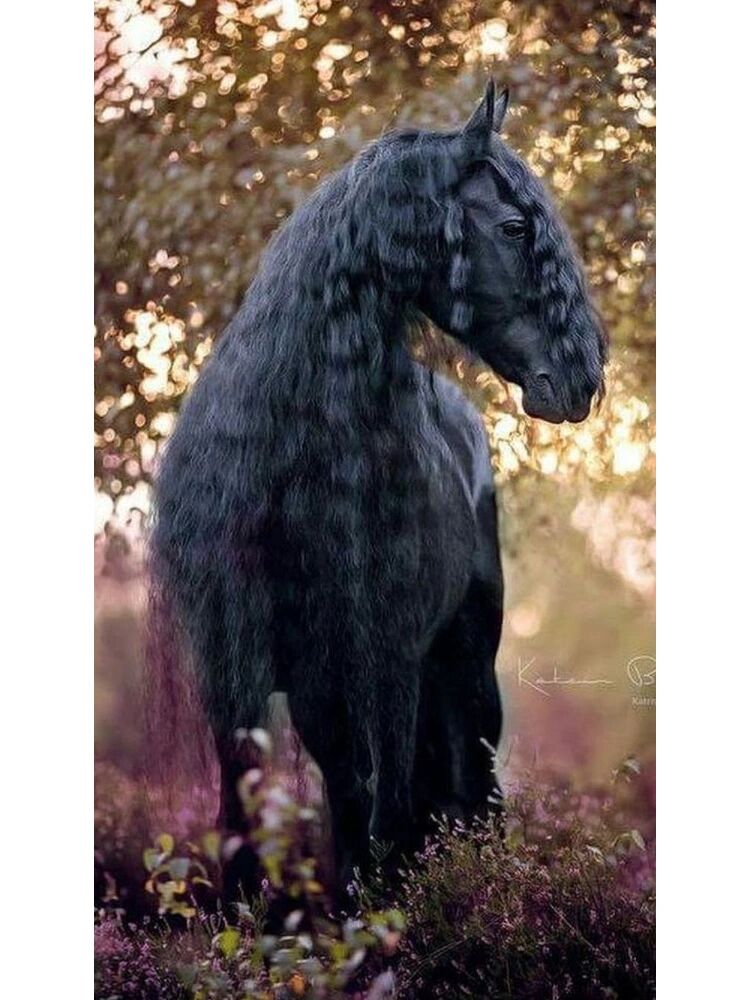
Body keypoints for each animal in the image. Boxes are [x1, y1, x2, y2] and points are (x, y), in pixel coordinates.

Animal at [148, 80, 607, 906]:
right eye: (513, 224)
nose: (582, 376)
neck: (293, 458)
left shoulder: (386, 658)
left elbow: (388, 815)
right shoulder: (233, 674)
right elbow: (244, 816)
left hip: (459, 664)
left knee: (461, 787)